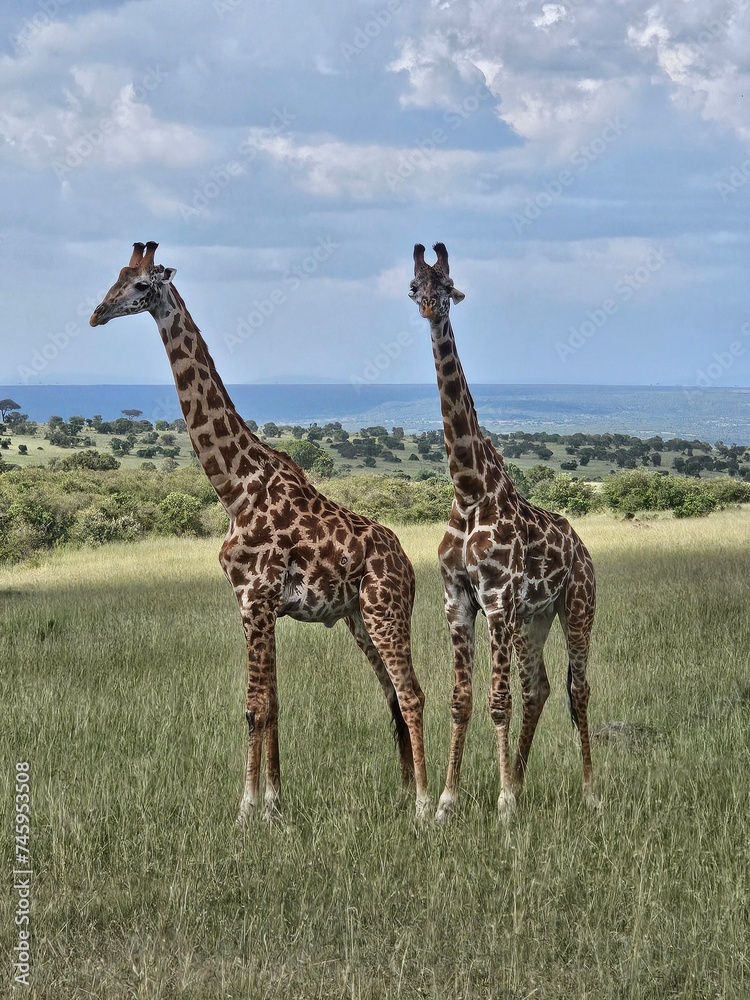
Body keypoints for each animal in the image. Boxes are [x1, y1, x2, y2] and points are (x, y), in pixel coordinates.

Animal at [90, 241, 429, 821]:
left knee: (412, 694)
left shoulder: (256, 597)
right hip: (360, 619)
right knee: (391, 695)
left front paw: (247, 809)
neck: (234, 486)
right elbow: (271, 703)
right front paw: (274, 801)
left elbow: (253, 707)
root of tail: (407, 565)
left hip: (385, 610)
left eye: (140, 286)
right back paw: (406, 791)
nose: (97, 314)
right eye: (115, 276)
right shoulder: (256, 605)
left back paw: (428, 805)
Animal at [408, 242, 598, 819]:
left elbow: (497, 701)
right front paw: (447, 801)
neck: (470, 491)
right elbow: (461, 700)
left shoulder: (495, 599)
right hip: (534, 618)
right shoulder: (456, 599)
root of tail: (584, 550)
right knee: (538, 688)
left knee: (577, 690)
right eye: (414, 285)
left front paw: (505, 804)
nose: (430, 308)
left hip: (576, 607)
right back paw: (519, 776)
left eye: (448, 286)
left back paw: (590, 793)